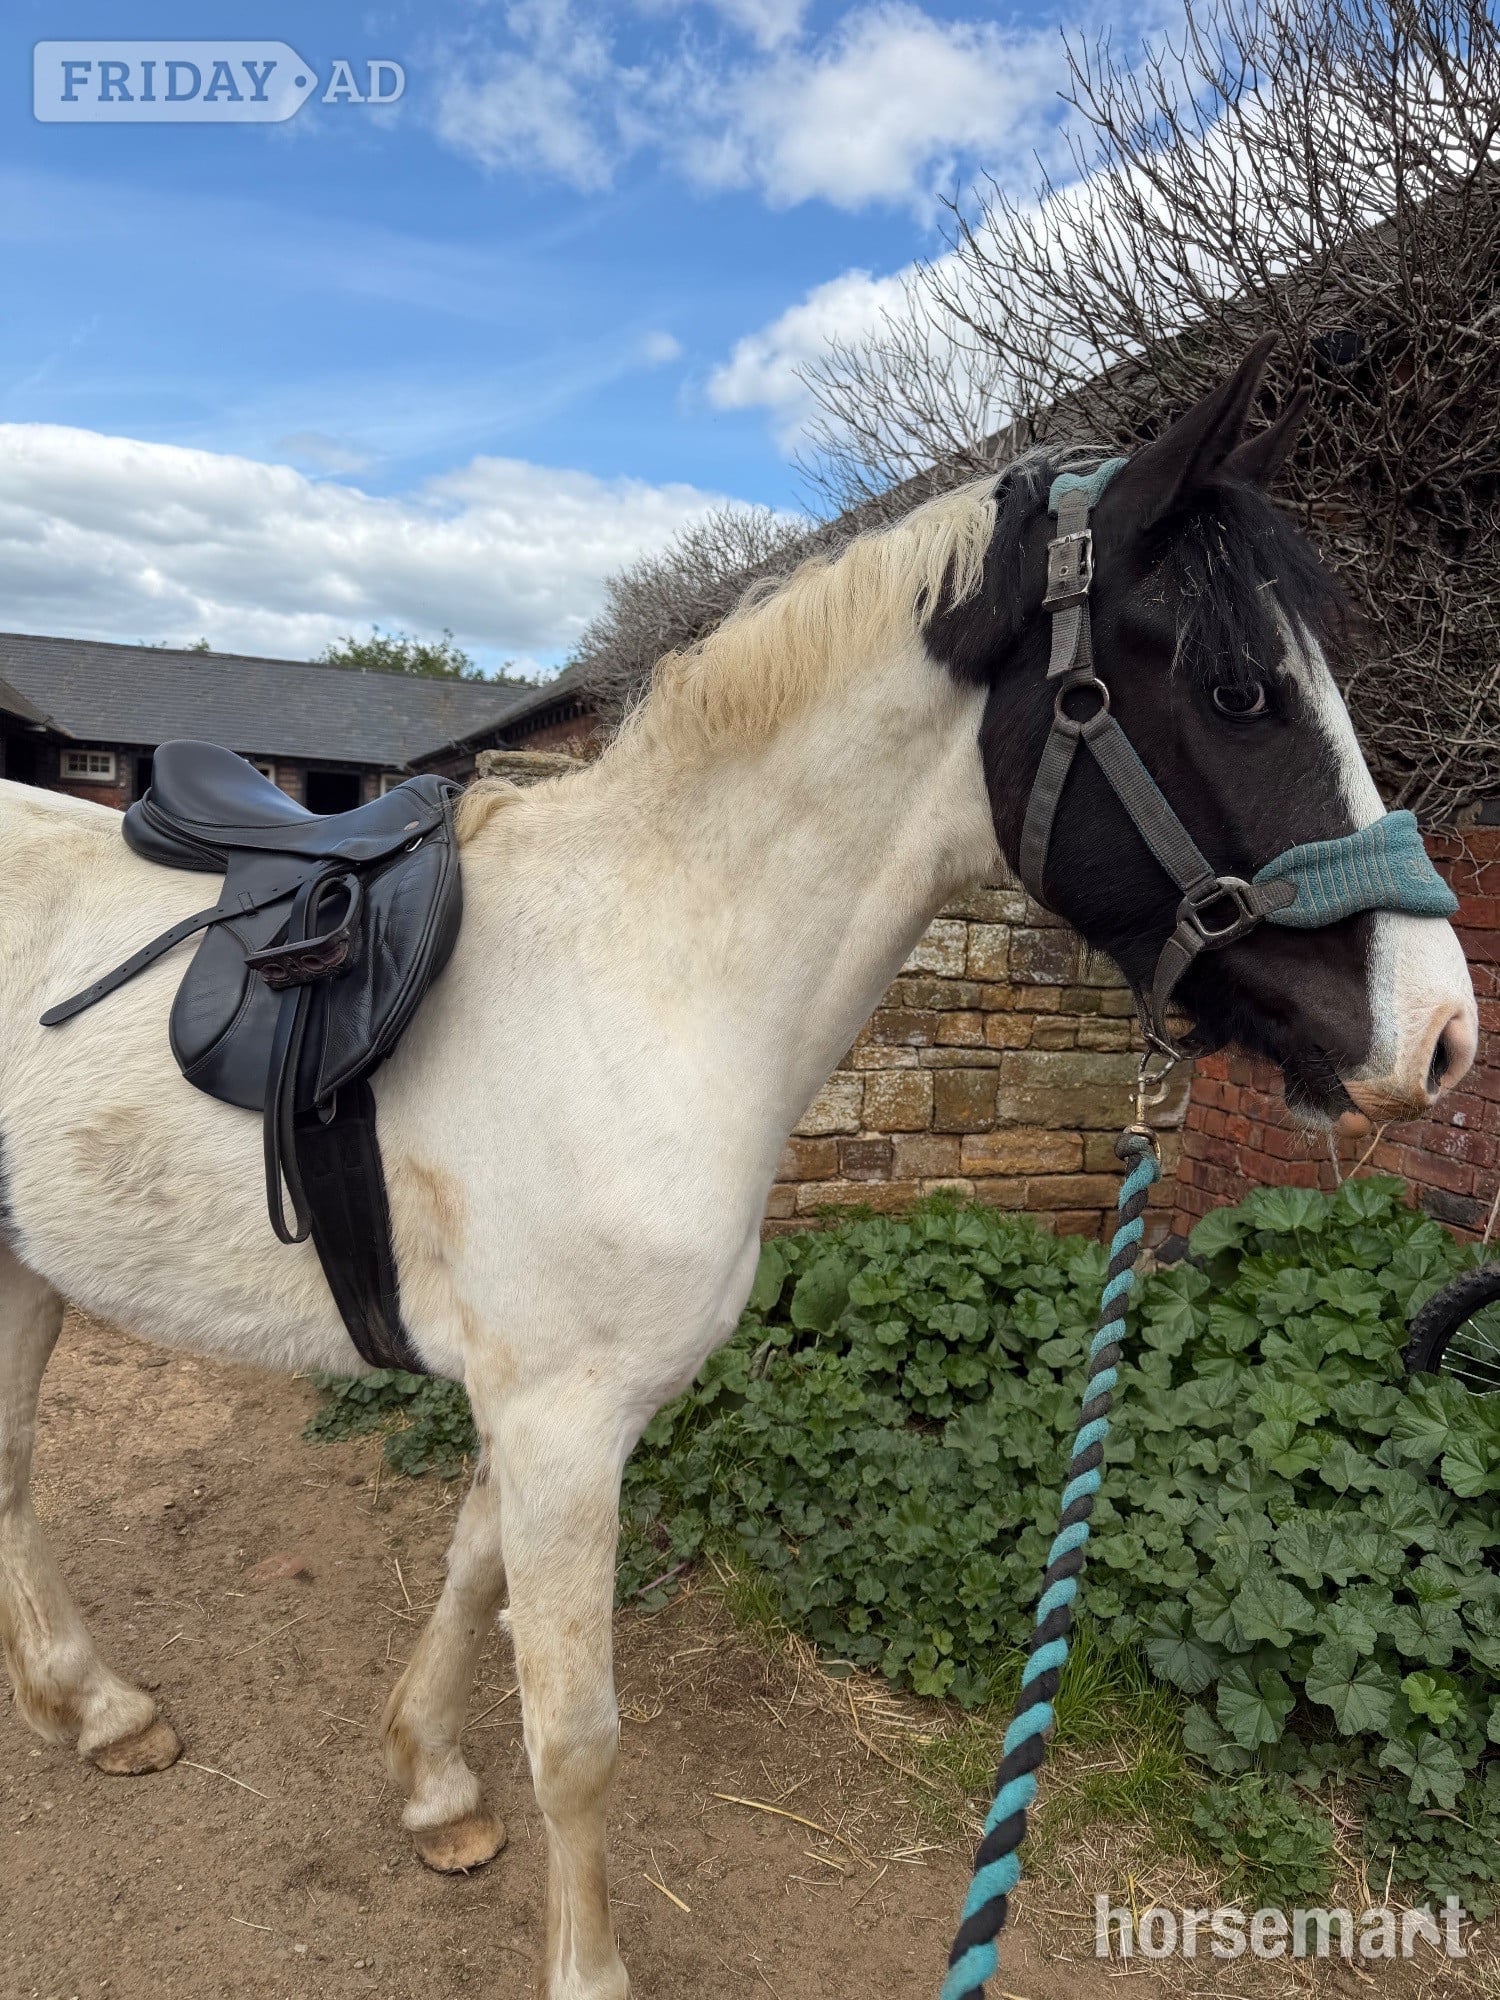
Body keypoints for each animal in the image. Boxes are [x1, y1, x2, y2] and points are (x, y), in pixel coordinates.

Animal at [0, 345, 1476, 1999]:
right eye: (1236, 689)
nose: (1441, 1034)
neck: (651, 977)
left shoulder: (541, 1413)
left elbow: (470, 1578)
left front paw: (433, 1787)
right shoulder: (564, 1419)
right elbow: (575, 1734)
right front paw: (585, 1967)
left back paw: (94, 1708)